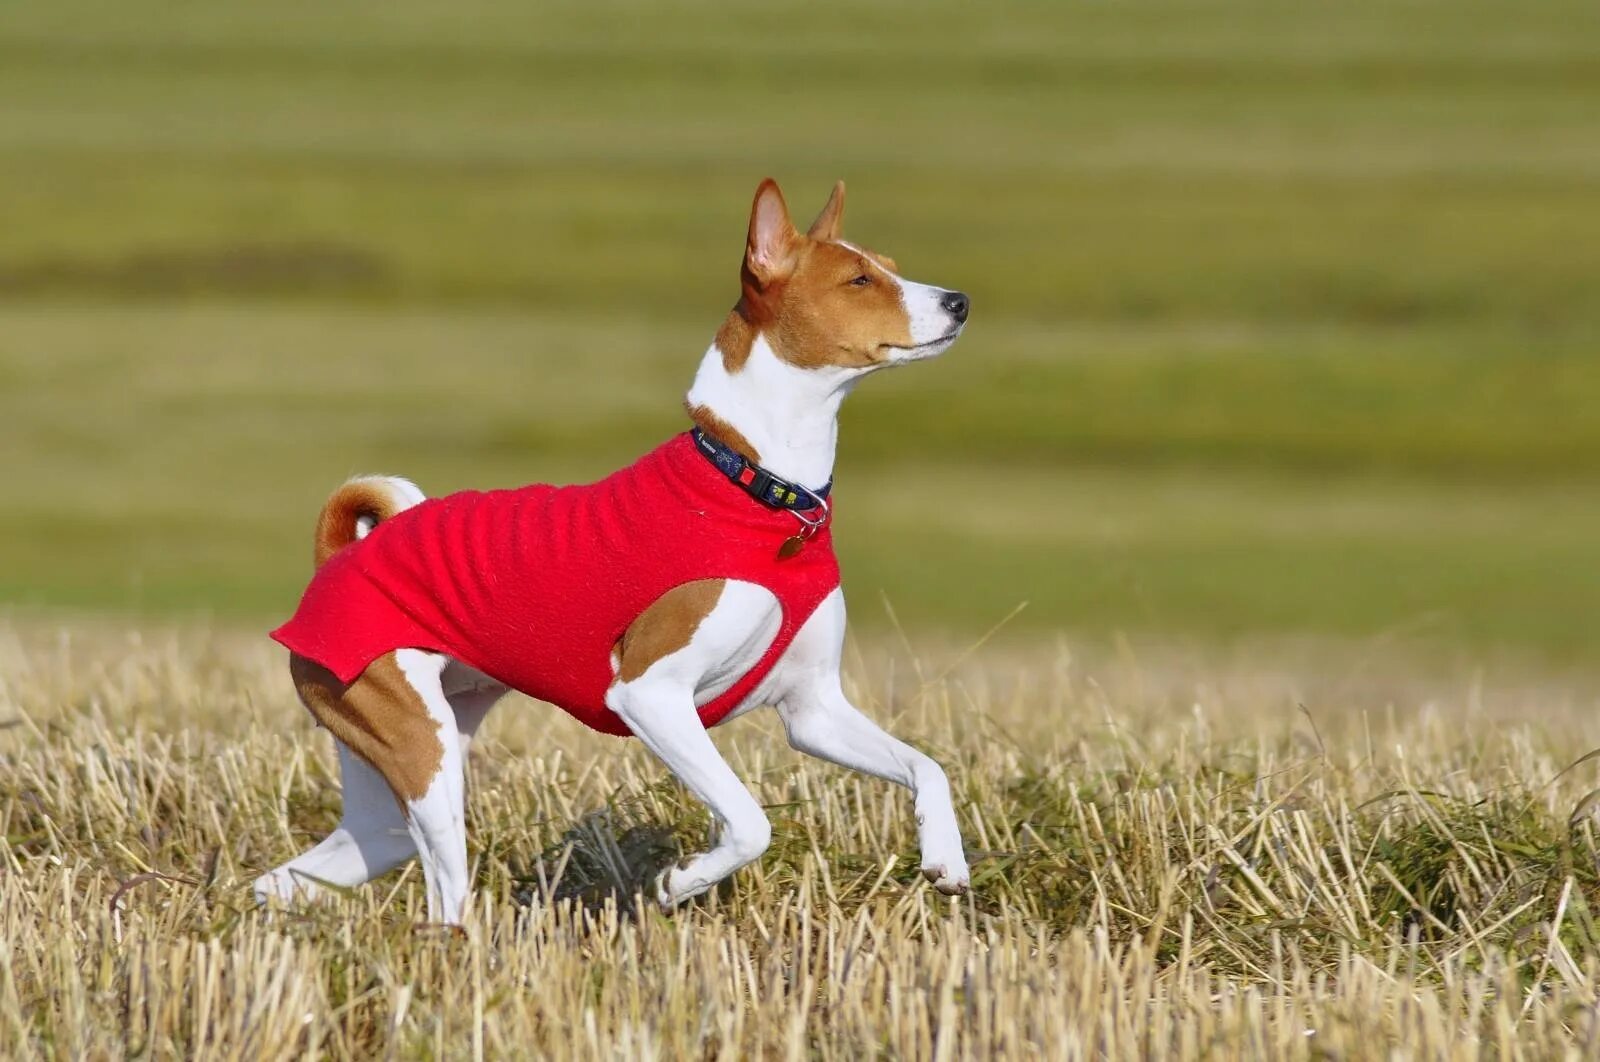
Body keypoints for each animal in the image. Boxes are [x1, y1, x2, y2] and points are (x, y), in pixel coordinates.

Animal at [252, 180, 972, 921]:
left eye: (890, 265)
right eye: (858, 280)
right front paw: (683, 881)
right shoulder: (650, 694)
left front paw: (945, 858)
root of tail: (337, 555)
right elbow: (749, 823)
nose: (959, 301)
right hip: (426, 761)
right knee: (444, 901)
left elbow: (928, 767)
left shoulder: (813, 711)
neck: (757, 489)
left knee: (287, 879)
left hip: (397, 791)